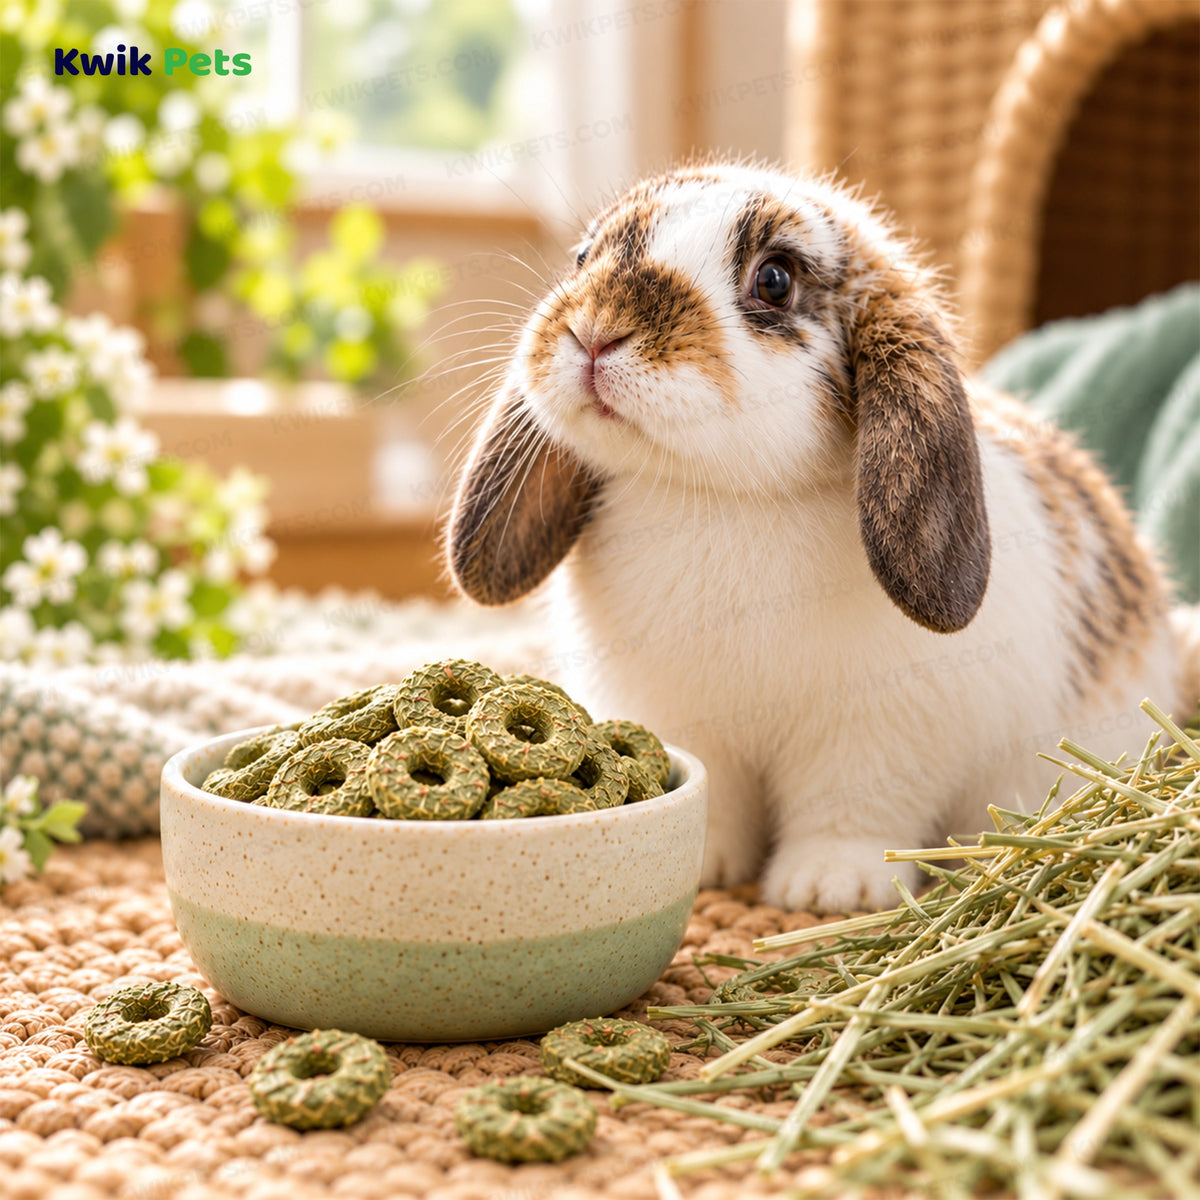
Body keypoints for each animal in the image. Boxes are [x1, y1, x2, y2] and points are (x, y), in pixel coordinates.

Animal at [445, 160, 1192, 914]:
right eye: (582, 257)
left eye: (774, 280)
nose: (595, 333)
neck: (721, 498)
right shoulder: (693, 726)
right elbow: (716, 798)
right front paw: (709, 867)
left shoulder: (874, 740)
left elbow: (851, 812)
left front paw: (827, 889)